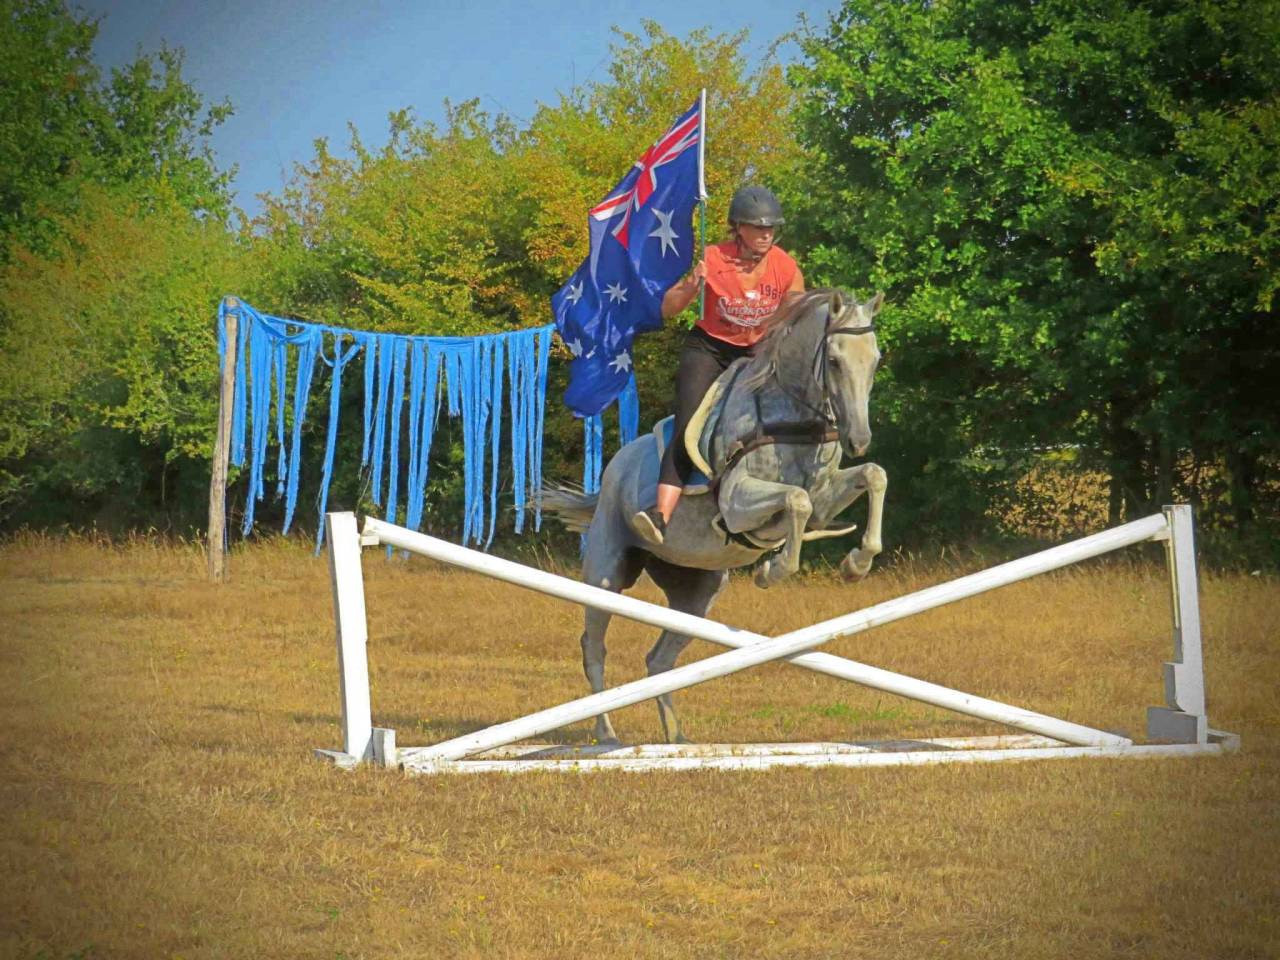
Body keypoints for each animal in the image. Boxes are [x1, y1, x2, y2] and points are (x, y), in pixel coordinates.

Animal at [542, 288, 887, 744]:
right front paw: (772, 571)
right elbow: (797, 501)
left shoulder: (827, 496)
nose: (859, 439)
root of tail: (612, 471)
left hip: (697, 592)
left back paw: (676, 739)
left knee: (659, 660)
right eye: (833, 360)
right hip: (605, 573)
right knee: (593, 648)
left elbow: (871, 476)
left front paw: (856, 564)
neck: (792, 417)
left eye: (876, 359)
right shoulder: (738, 505)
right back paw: (607, 735)